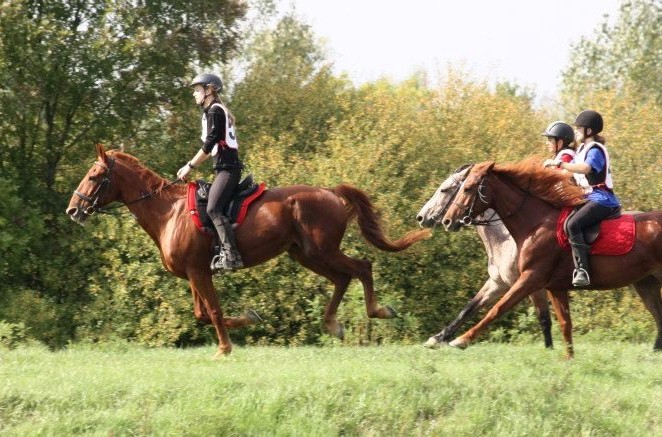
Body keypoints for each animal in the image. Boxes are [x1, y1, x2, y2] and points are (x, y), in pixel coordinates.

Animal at [66, 145, 430, 356]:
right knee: (343, 278)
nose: (73, 210)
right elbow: (202, 314)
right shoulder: (194, 273)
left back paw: (378, 311)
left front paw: (224, 349)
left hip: (321, 250)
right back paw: (333, 324)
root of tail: (329, 191)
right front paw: (249, 319)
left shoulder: (199, 271)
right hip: (305, 253)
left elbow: (212, 311)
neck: (168, 211)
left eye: (95, 176)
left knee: (362, 267)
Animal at [418, 165, 556, 350]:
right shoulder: (498, 283)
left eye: (444, 190)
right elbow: (469, 308)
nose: (420, 217)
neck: (507, 240)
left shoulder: (532, 283)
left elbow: (544, 319)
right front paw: (438, 338)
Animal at [440, 158, 662, 356]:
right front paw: (568, 359)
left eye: (467, 188)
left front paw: (460, 340)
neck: (535, 225)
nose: (447, 221)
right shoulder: (554, 287)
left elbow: (497, 308)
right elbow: (564, 323)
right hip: (645, 282)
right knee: (658, 316)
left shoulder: (530, 278)